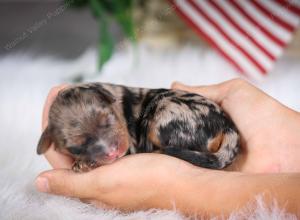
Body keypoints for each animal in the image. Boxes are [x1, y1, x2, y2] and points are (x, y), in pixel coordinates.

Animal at [36, 82, 240, 172]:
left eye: (108, 120)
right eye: (76, 148)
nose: (112, 153)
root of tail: (227, 126)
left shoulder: (130, 144)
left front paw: (85, 164)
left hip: (163, 116)